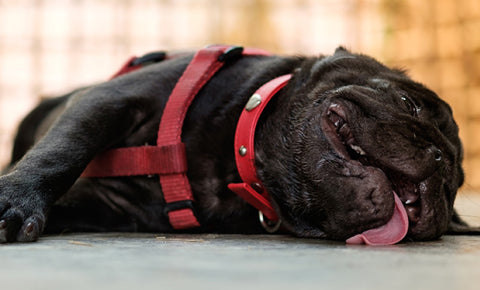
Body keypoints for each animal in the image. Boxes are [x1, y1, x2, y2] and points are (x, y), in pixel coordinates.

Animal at [0, 45, 472, 244]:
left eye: (450, 188)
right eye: (409, 104)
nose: (437, 160)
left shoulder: (106, 209)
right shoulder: (113, 100)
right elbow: (63, 152)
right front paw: (15, 202)